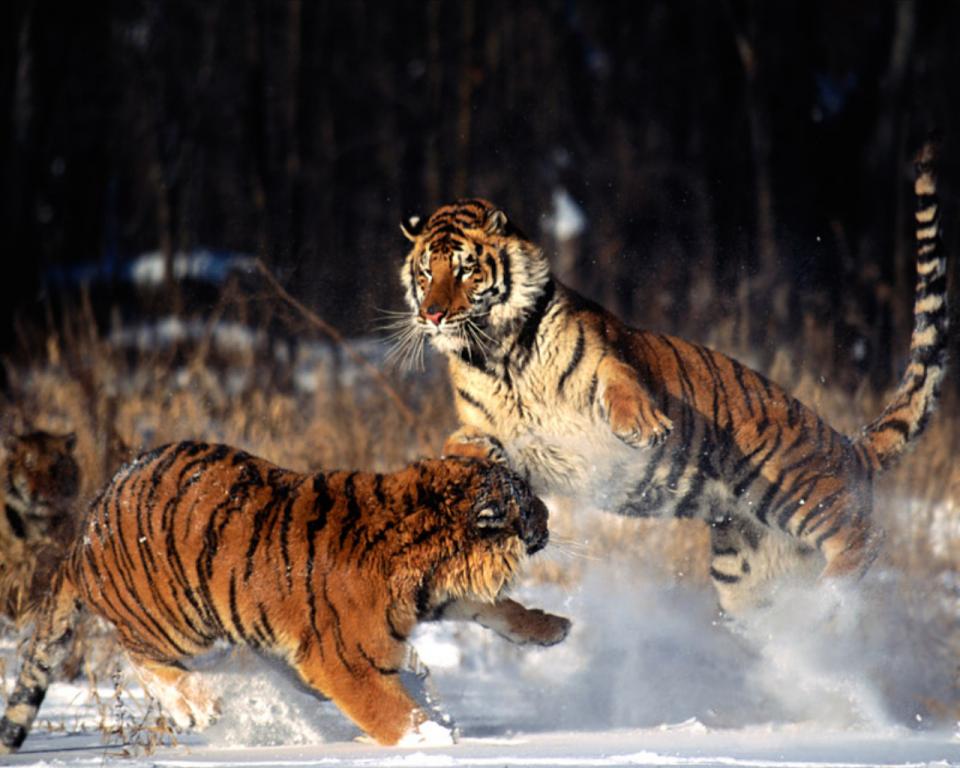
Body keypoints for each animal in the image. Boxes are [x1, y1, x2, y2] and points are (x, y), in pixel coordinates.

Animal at [0, 444, 552, 752]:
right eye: (527, 502)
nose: (549, 516)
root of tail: (84, 533)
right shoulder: (342, 660)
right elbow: (388, 711)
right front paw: (432, 740)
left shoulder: (431, 597)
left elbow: (496, 607)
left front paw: (551, 629)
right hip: (171, 621)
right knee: (140, 658)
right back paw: (199, 707)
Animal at [396, 142, 944, 612]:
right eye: (425, 273)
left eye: (465, 270)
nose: (433, 315)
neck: (498, 355)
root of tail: (851, 445)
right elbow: (457, 444)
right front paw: (479, 458)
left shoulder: (608, 355)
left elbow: (619, 382)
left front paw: (644, 427)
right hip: (744, 573)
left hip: (790, 485)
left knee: (865, 537)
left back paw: (831, 598)